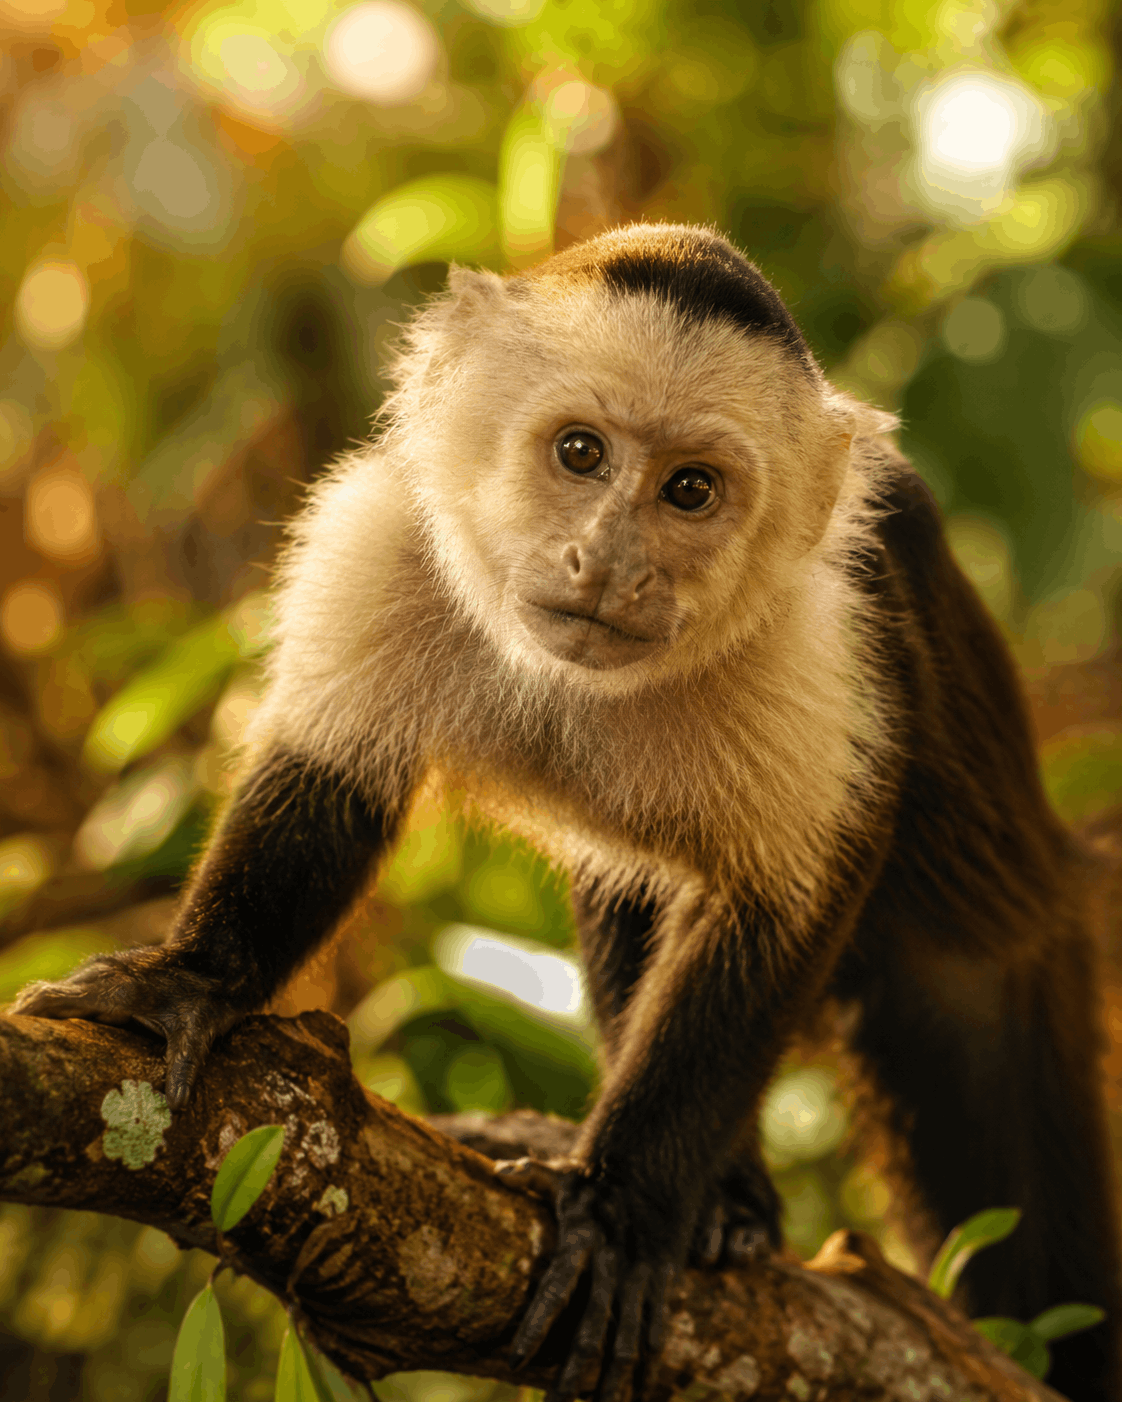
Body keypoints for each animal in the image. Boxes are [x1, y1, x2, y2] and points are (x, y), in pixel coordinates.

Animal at [14, 224, 1121, 1402]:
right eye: (581, 453)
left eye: (690, 489)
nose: (609, 561)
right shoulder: (383, 535)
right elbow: (328, 778)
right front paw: (195, 982)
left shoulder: (826, 638)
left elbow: (782, 905)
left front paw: (628, 1211)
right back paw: (731, 1203)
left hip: (1004, 966)